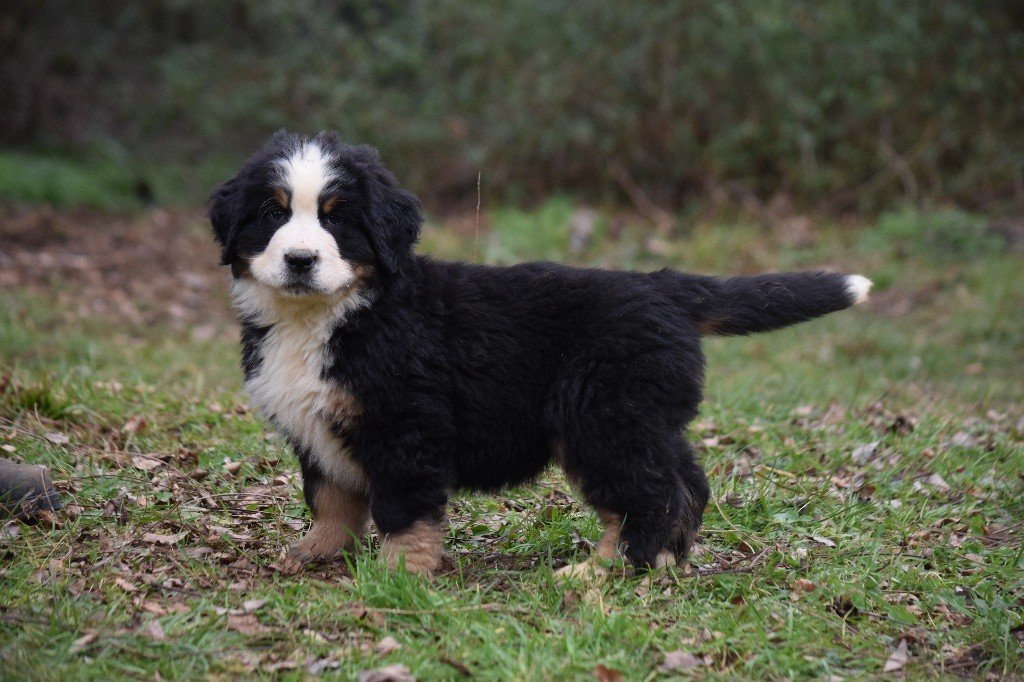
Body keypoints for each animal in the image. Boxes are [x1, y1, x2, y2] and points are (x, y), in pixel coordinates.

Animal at [209, 129, 872, 573]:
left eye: (337, 219)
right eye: (271, 212)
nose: (300, 259)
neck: (333, 313)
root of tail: (662, 285)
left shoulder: (406, 424)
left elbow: (403, 510)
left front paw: (399, 577)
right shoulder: (318, 430)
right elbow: (331, 498)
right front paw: (315, 552)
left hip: (603, 417)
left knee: (650, 494)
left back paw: (602, 574)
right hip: (643, 418)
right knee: (684, 484)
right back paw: (659, 562)